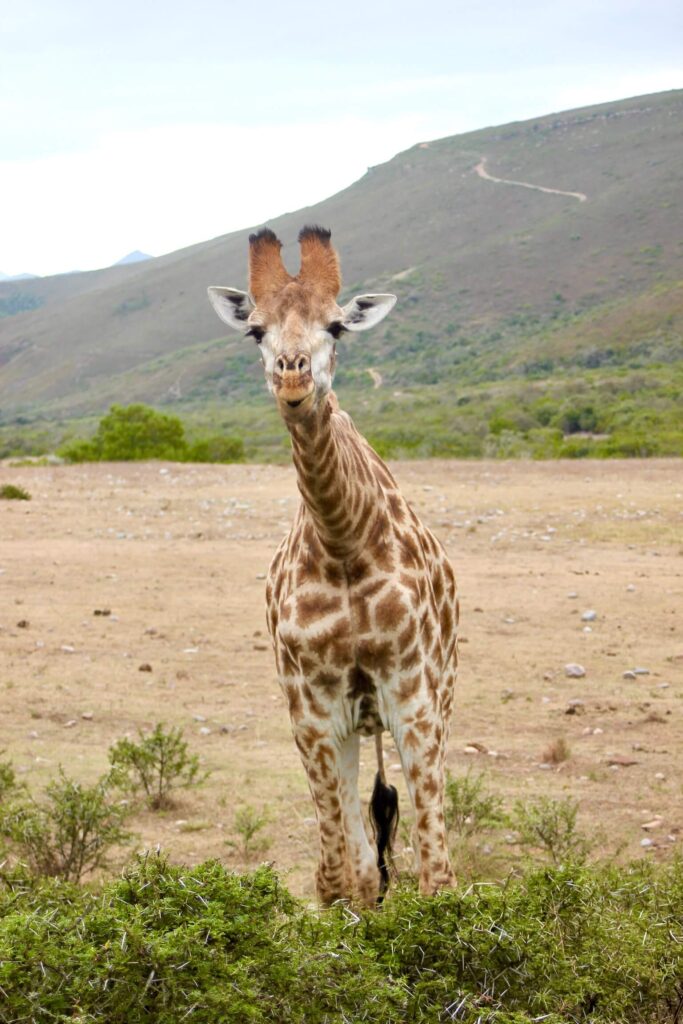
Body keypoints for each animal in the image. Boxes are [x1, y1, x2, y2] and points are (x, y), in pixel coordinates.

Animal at [208, 226, 459, 905]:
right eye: (256, 331)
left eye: (337, 326)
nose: (292, 381)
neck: (344, 541)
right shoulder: (312, 710)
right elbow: (339, 875)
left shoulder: (413, 695)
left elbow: (437, 875)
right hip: (351, 726)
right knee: (363, 861)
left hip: (435, 696)